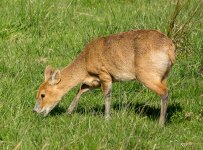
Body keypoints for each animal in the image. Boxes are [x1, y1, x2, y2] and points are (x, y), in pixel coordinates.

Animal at [33, 29, 174, 125]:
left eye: (43, 95)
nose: (35, 111)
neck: (85, 63)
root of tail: (170, 48)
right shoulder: (93, 80)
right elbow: (80, 90)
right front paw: (68, 112)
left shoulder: (104, 73)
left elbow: (106, 94)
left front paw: (106, 118)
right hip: (163, 76)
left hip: (146, 74)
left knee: (164, 92)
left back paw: (160, 123)